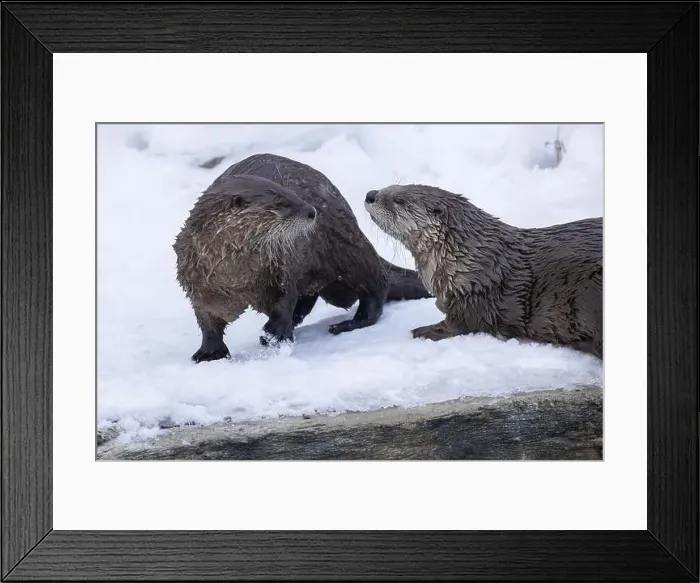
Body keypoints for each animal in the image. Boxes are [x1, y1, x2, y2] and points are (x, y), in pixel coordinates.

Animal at [174, 154, 431, 363]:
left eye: (291, 193)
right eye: (280, 203)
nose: (312, 211)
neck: (237, 275)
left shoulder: (280, 265)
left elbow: (283, 300)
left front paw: (275, 335)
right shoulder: (197, 285)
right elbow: (207, 322)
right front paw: (210, 352)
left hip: (348, 246)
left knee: (376, 285)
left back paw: (346, 324)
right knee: (310, 297)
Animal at [364, 185, 603, 358]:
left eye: (399, 200)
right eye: (392, 186)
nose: (371, 194)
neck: (467, 262)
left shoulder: (474, 295)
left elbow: (461, 324)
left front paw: (423, 331)